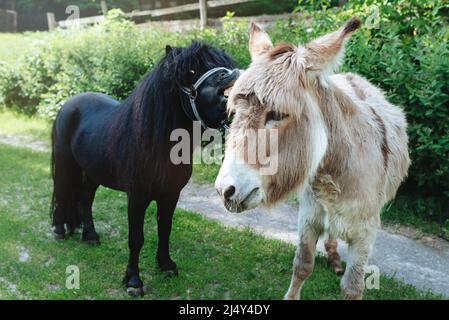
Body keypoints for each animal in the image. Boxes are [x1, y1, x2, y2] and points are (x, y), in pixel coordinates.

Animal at [50, 42, 238, 296]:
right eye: (190, 71)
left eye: (223, 62)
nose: (231, 75)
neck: (156, 143)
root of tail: (69, 104)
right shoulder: (137, 197)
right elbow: (136, 238)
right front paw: (133, 281)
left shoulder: (170, 195)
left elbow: (165, 229)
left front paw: (166, 265)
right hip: (66, 165)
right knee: (62, 193)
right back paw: (60, 230)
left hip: (92, 173)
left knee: (86, 199)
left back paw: (90, 236)